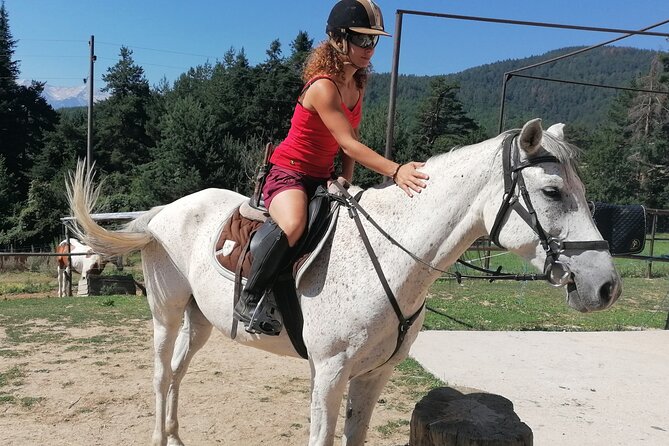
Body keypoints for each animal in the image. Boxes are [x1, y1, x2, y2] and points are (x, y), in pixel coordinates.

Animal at [66, 118, 621, 446]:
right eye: (552, 192)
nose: (606, 286)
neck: (393, 256)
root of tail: (164, 212)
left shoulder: (373, 376)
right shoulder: (330, 372)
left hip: (201, 321)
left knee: (179, 373)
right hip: (166, 312)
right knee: (162, 376)